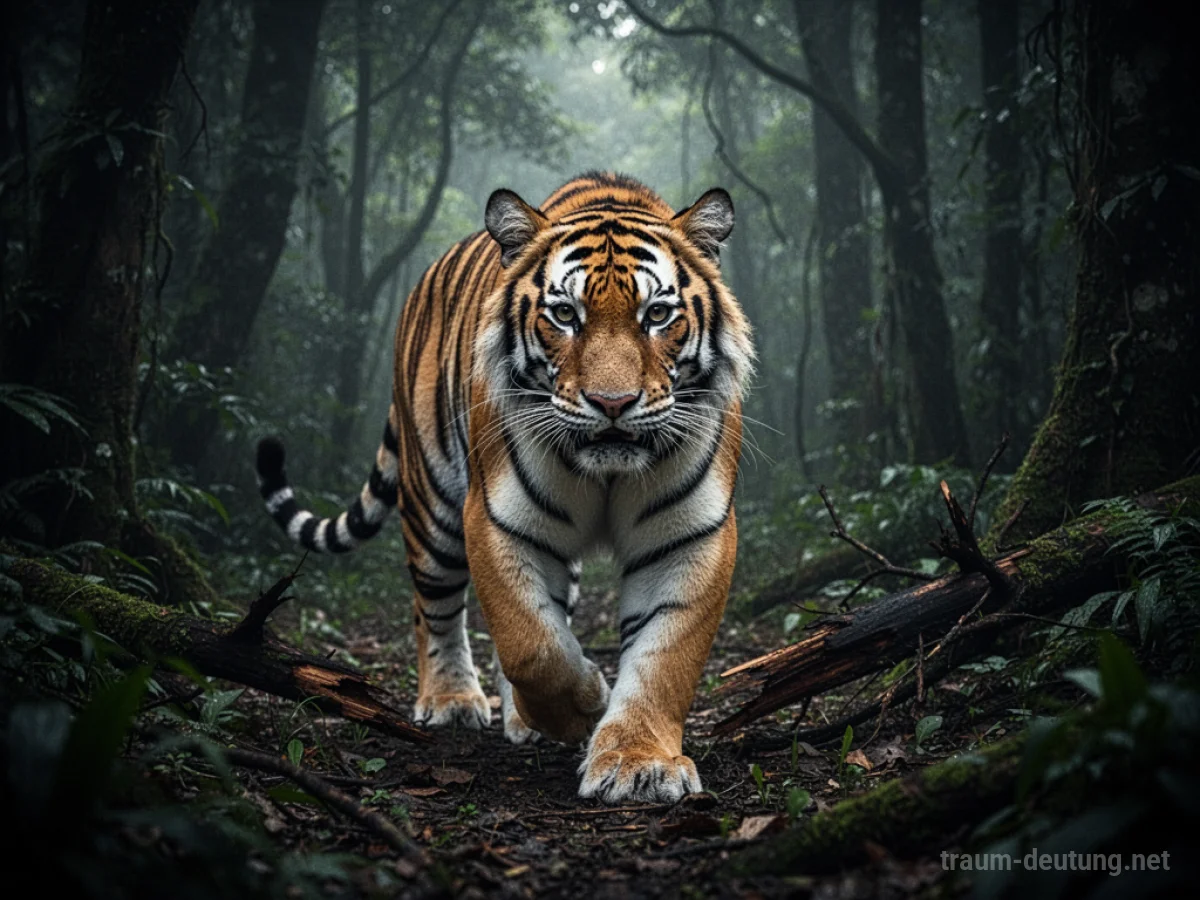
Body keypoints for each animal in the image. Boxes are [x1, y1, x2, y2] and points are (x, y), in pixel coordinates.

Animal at [255, 172, 753, 803]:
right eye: (565, 314)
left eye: (658, 314)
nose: (612, 403)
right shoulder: (496, 518)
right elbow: (531, 644)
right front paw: (584, 704)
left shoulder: (691, 536)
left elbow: (664, 658)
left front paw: (639, 764)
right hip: (432, 503)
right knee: (434, 607)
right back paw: (451, 700)